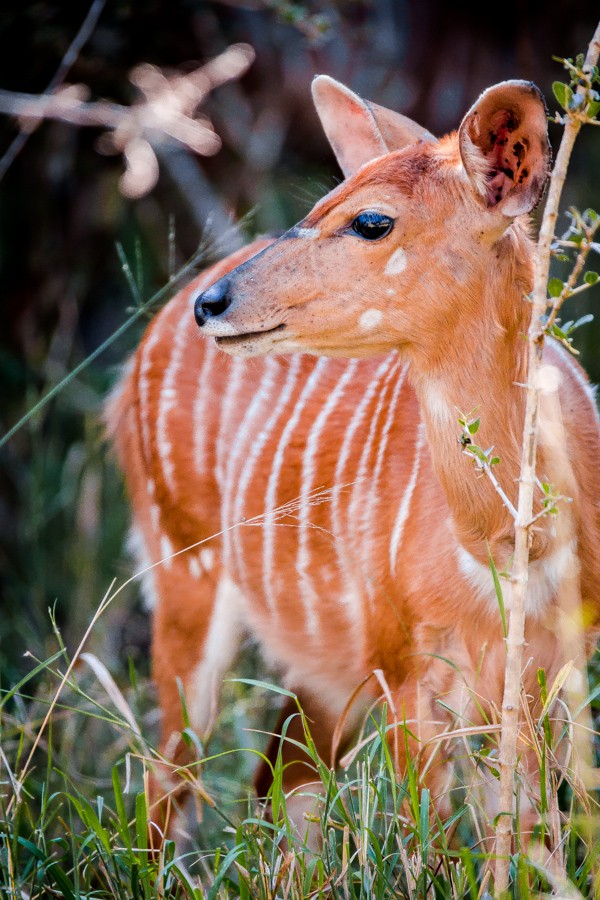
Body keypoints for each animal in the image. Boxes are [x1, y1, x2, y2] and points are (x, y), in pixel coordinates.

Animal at [109, 74, 600, 840]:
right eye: (323, 201)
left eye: (372, 221)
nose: (213, 304)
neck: (509, 541)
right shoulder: (406, 666)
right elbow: (428, 839)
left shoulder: (545, 672)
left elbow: (525, 834)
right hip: (186, 573)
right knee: (168, 779)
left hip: (323, 668)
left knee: (280, 774)